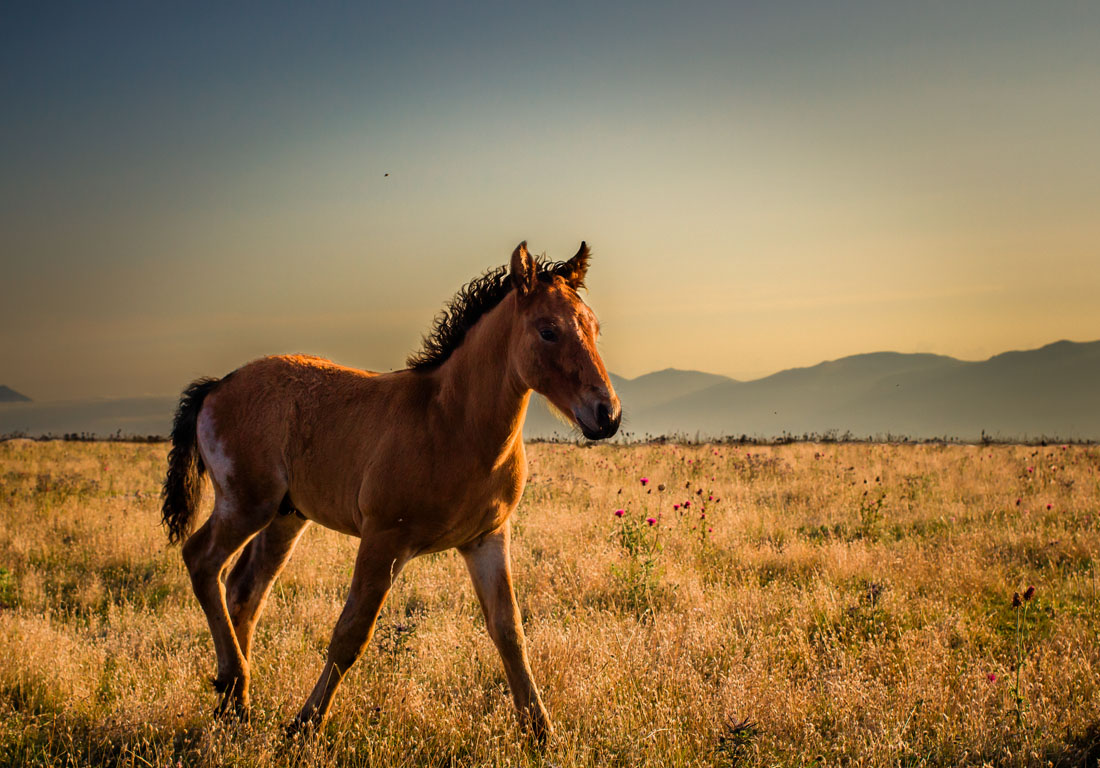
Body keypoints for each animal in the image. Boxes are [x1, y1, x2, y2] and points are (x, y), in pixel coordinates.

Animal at [160, 241, 621, 740]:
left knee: (245, 591)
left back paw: (235, 708)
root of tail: (217, 386)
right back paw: (232, 681)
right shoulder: (384, 539)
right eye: (548, 330)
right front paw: (304, 726)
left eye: (594, 327)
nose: (607, 414)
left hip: (285, 518)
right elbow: (351, 634)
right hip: (246, 504)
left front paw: (542, 734)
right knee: (202, 561)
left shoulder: (488, 539)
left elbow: (509, 632)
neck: (453, 423)